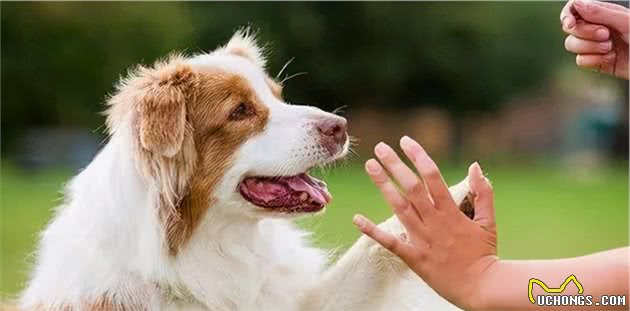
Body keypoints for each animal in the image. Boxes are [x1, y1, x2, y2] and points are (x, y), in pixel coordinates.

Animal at [18, 29, 474, 311]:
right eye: (239, 112)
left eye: (278, 95)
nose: (340, 127)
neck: (210, 244)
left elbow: (369, 250)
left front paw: (445, 205)